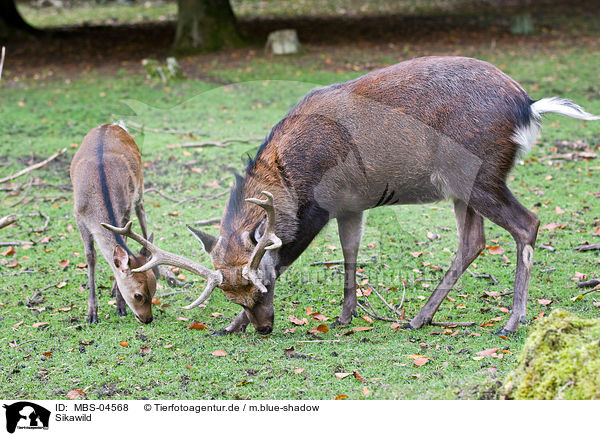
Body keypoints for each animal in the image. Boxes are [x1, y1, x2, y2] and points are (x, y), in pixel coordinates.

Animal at [70, 123, 157, 324]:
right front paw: (92, 313)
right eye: (138, 295)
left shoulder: (124, 213)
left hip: (139, 184)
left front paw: (120, 305)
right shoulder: (79, 216)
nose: (148, 319)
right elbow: (90, 256)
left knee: (142, 214)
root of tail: (112, 124)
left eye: (154, 290)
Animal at [101, 55, 596, 334]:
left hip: (479, 174)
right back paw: (420, 317)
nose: (263, 327)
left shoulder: (323, 205)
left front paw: (229, 327)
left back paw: (512, 321)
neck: (291, 174)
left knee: (527, 224)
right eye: (231, 295)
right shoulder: (351, 205)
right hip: (461, 187)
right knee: (473, 241)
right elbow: (351, 252)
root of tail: (527, 106)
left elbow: (290, 253)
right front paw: (346, 315)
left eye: (265, 286)